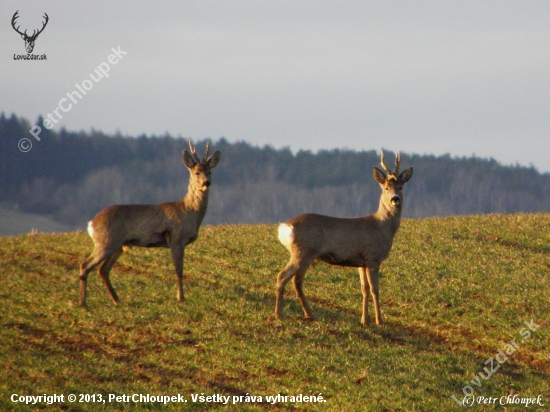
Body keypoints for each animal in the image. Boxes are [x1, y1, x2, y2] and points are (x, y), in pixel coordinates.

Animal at [78, 140, 221, 308]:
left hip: (117, 245)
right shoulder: (176, 239)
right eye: (197, 172)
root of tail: (91, 224)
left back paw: (116, 300)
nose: (207, 182)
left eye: (210, 171)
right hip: (106, 242)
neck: (188, 212)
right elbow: (179, 269)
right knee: (86, 265)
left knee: (103, 269)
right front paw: (181, 298)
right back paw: (83, 303)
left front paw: (180, 296)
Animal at [276, 150, 414, 326]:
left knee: (297, 281)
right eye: (386, 187)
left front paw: (364, 321)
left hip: (306, 255)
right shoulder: (372, 257)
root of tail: (285, 226)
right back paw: (279, 316)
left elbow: (364, 289)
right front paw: (380, 321)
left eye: (401, 187)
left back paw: (309, 315)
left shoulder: (362, 262)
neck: (382, 227)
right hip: (302, 251)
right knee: (282, 276)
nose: (395, 199)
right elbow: (375, 289)